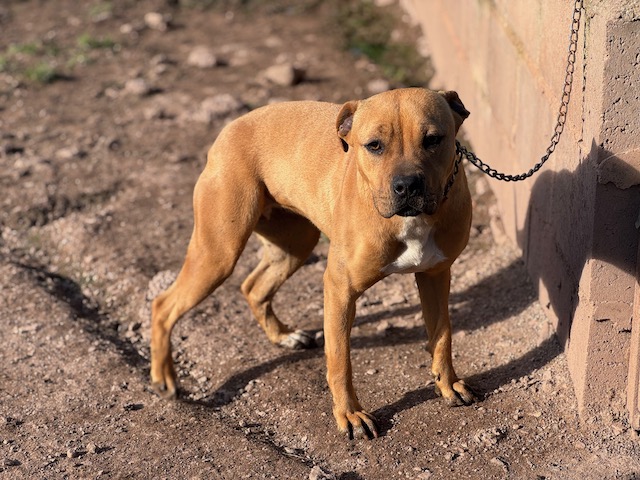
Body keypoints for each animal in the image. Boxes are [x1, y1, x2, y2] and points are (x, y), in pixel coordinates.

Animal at [150, 87, 475, 439]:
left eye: (433, 139)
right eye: (374, 145)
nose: (407, 185)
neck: (409, 220)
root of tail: (231, 128)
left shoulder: (436, 275)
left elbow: (442, 336)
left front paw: (448, 384)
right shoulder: (340, 289)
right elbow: (339, 360)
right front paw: (350, 414)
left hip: (295, 244)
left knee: (253, 287)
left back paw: (282, 335)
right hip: (218, 252)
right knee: (163, 305)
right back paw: (163, 378)